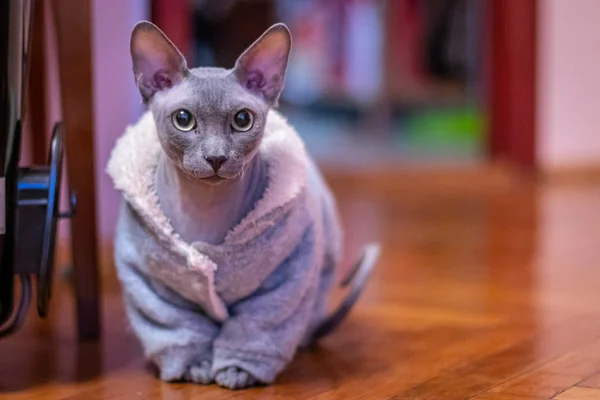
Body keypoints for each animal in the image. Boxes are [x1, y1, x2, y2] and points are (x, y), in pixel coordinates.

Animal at [106, 20, 380, 390]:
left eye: (242, 120)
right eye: (183, 119)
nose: (216, 157)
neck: (205, 210)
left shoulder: (281, 283)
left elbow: (255, 329)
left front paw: (238, 370)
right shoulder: (156, 286)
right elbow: (179, 329)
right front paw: (194, 366)